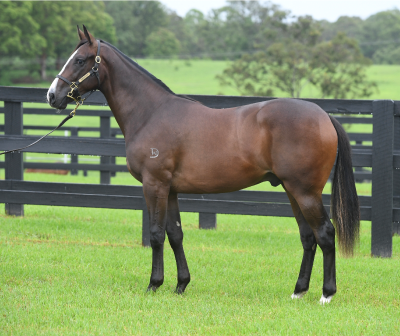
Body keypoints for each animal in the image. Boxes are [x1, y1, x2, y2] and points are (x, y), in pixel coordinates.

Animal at [46, 26, 360, 304]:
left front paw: (154, 284)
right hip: (292, 190)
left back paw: (326, 294)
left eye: (79, 60)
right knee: (308, 237)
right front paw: (180, 285)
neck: (151, 113)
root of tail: (323, 115)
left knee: (325, 233)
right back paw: (298, 291)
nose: (52, 95)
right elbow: (175, 235)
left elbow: (156, 235)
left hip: (305, 192)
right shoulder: (171, 190)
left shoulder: (155, 185)